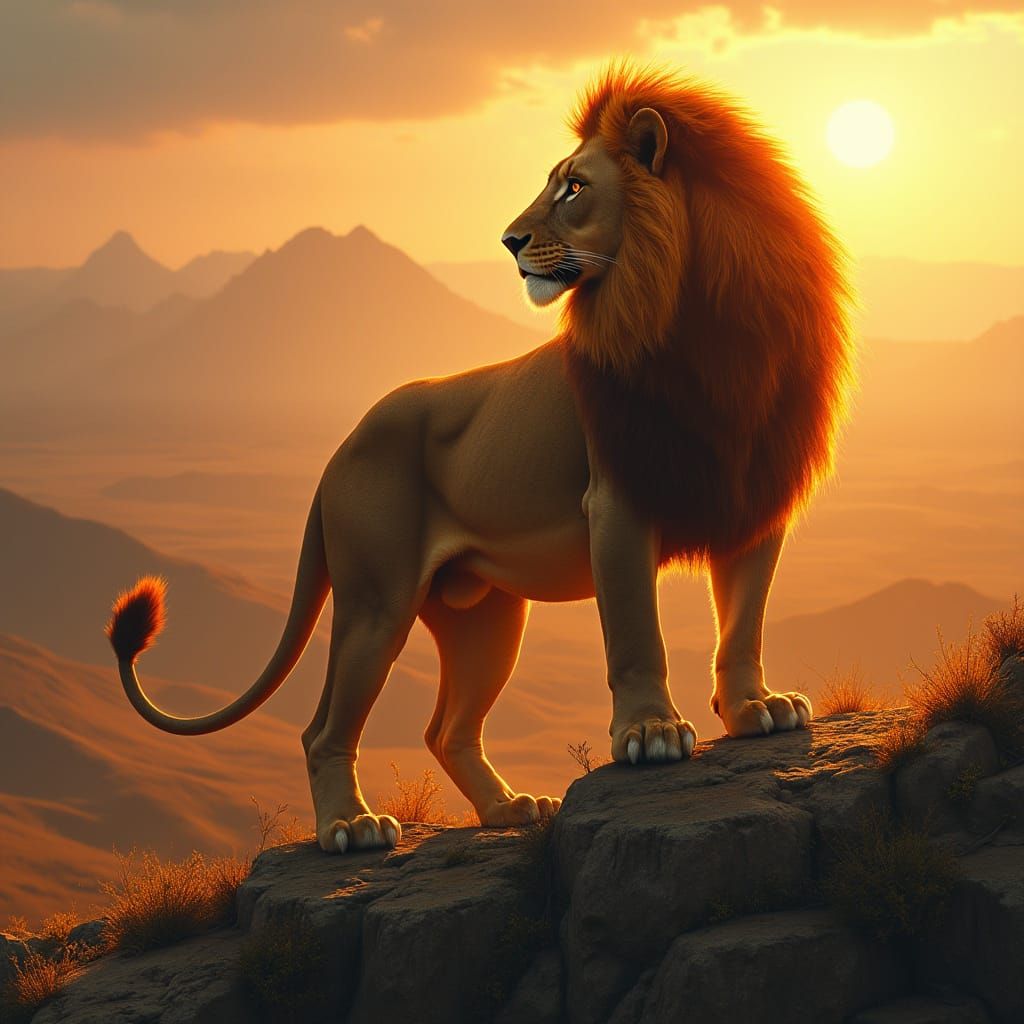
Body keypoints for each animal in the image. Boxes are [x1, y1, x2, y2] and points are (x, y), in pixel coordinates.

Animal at [108, 64, 854, 856]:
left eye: (575, 188)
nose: (508, 240)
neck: (711, 321)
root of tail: (343, 444)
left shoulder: (754, 496)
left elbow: (743, 622)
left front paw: (755, 709)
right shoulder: (615, 503)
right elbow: (634, 632)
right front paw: (650, 732)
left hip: (485, 617)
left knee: (447, 729)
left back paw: (509, 808)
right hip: (376, 601)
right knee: (322, 730)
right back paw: (351, 827)